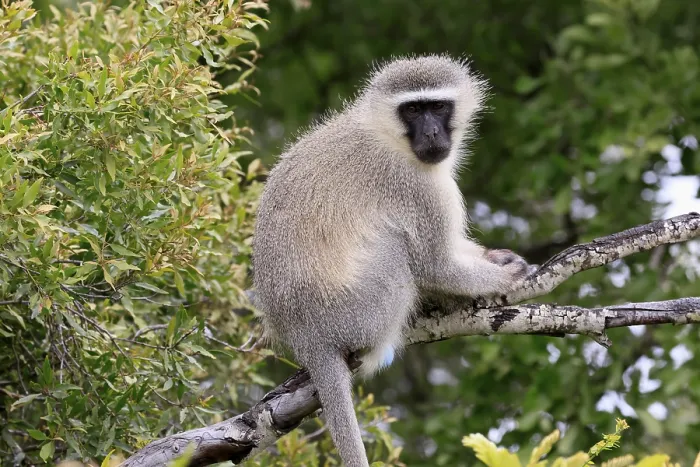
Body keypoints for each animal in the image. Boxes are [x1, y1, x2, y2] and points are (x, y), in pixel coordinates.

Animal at [252, 54, 530, 467]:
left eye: (438, 107)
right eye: (412, 110)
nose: (431, 133)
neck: (387, 136)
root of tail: (308, 337)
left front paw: (495, 256)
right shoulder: (414, 188)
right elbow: (438, 264)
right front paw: (503, 278)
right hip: (358, 311)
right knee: (397, 248)